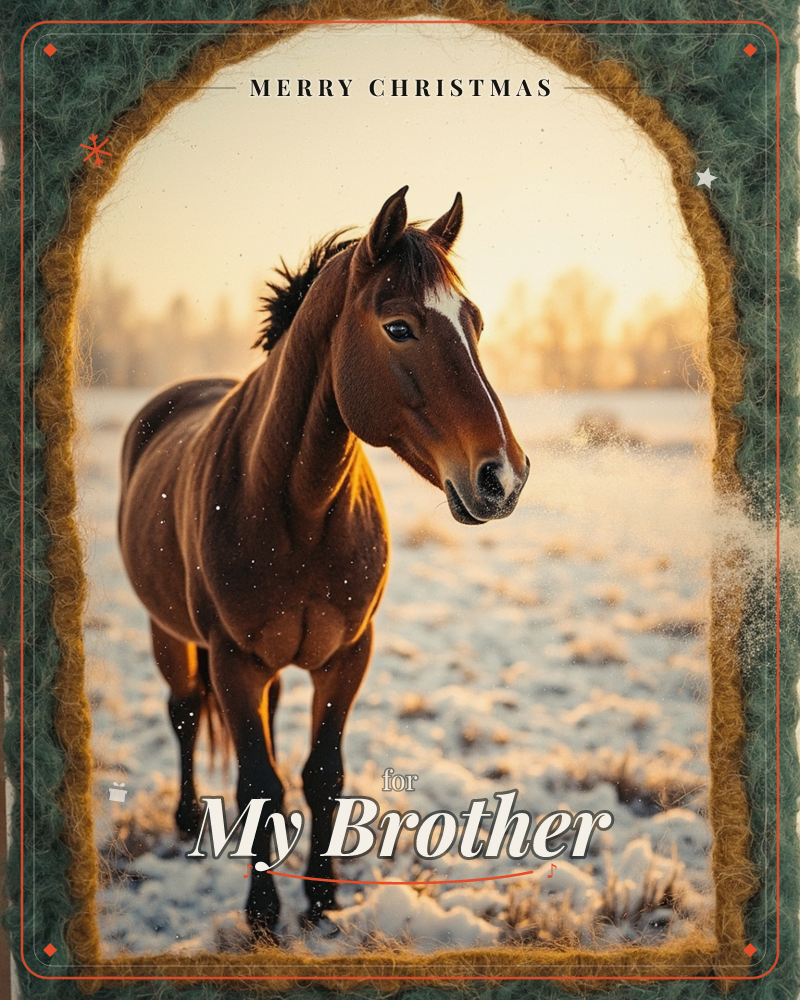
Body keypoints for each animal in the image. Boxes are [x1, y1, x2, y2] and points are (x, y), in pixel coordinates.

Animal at [117, 187, 530, 940]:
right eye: (399, 327)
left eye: (476, 323)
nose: (503, 478)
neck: (298, 511)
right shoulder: (233, 661)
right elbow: (259, 781)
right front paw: (261, 914)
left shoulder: (347, 656)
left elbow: (319, 775)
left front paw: (323, 899)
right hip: (171, 635)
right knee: (185, 712)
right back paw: (189, 819)